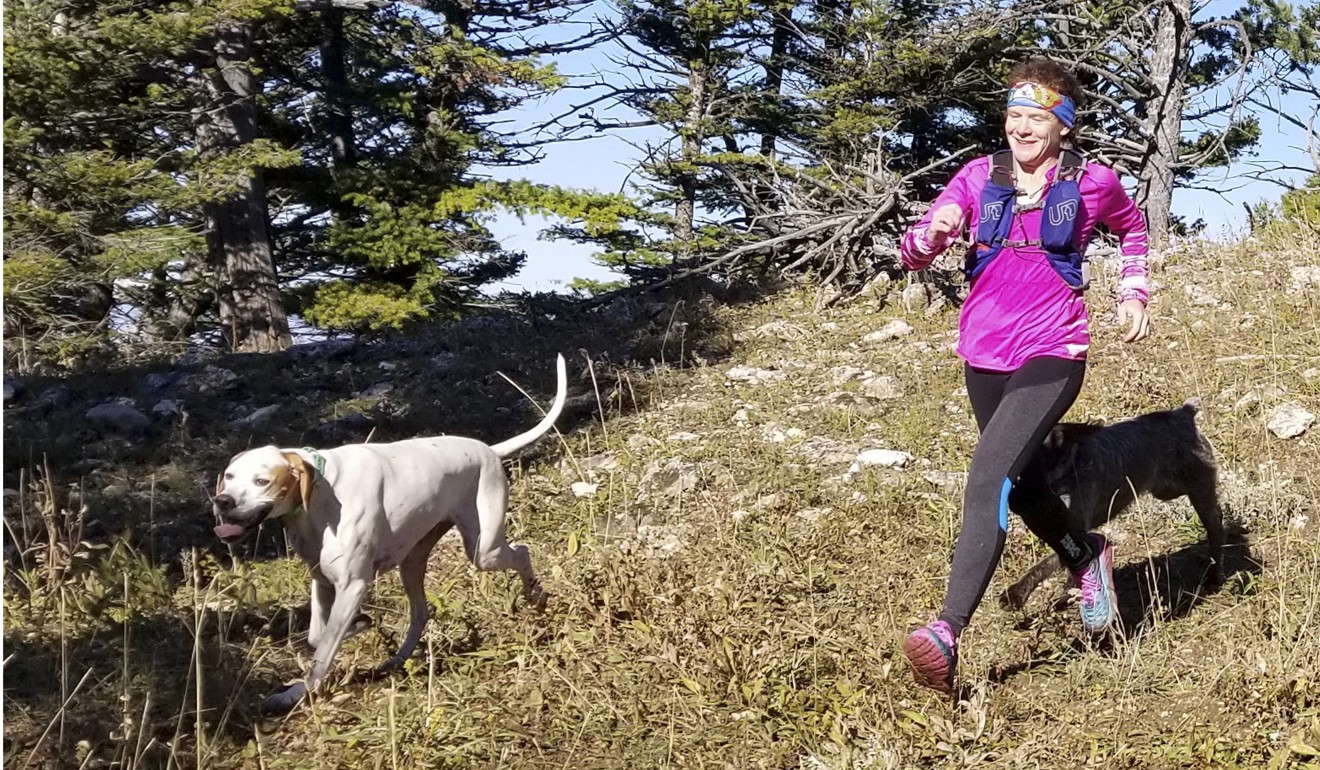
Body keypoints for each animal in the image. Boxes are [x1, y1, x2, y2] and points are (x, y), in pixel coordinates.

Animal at [212, 356, 567, 718]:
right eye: (229, 477)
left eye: (262, 481)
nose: (222, 502)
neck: (321, 491)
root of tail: (488, 450)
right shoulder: (321, 580)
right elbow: (316, 636)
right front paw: (357, 626)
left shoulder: (352, 585)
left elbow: (323, 650)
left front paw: (296, 693)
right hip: (413, 561)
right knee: (421, 613)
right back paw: (397, 660)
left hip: (484, 549)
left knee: (522, 552)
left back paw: (535, 596)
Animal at [997, 401, 1224, 612]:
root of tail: (1183, 414)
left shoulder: (1076, 536)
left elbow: (1048, 562)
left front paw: (1017, 593)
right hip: (1168, 491)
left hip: (1199, 491)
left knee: (1216, 526)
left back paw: (1214, 572)